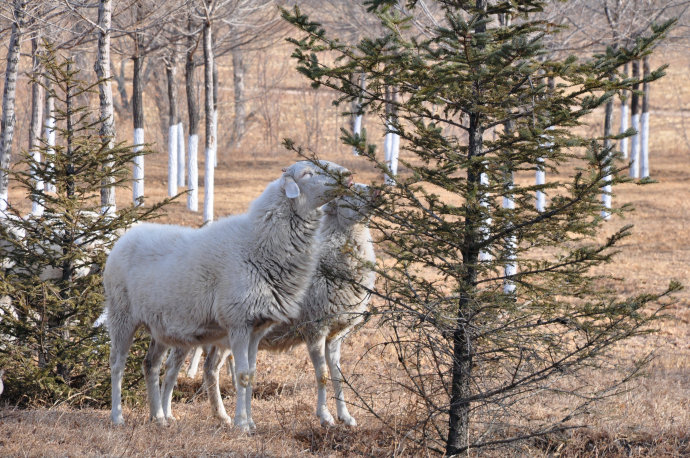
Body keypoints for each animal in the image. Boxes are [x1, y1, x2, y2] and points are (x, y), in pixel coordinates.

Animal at [102, 160, 350, 430]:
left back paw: (158, 417)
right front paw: (241, 424)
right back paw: (117, 417)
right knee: (117, 364)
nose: (347, 175)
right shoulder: (238, 322)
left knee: (150, 365)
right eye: (307, 173)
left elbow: (251, 373)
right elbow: (241, 375)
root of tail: (125, 237)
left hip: (159, 325)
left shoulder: (257, 327)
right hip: (121, 315)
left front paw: (250, 421)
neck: (256, 243)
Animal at [163, 182, 376, 426]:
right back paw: (166, 414)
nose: (378, 191)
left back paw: (222, 415)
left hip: (223, 335)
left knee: (210, 368)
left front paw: (346, 416)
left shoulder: (335, 334)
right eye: (348, 193)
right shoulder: (314, 328)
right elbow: (321, 375)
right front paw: (325, 417)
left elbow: (338, 376)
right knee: (171, 368)